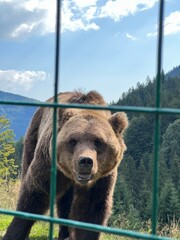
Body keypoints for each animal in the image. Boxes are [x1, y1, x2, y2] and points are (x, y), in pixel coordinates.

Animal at [3, 91, 129, 239]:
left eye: (98, 142)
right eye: (73, 140)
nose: (85, 161)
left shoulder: (101, 177)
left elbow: (91, 207)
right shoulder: (49, 164)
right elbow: (35, 194)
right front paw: (14, 232)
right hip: (33, 137)